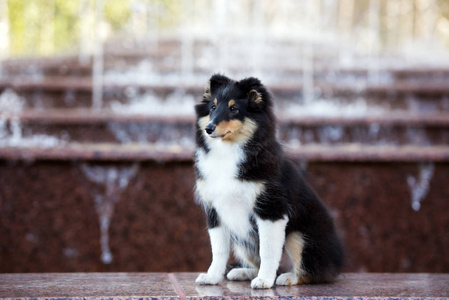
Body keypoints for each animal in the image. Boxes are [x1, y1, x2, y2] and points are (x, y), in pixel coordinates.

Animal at [192, 73, 344, 288]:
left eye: (233, 109)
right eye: (213, 107)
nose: (208, 128)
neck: (229, 151)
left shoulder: (271, 209)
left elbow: (268, 250)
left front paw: (264, 281)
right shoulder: (215, 211)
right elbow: (219, 250)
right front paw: (211, 277)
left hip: (299, 235)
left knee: (312, 272)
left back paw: (287, 277)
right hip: (242, 242)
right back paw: (242, 272)